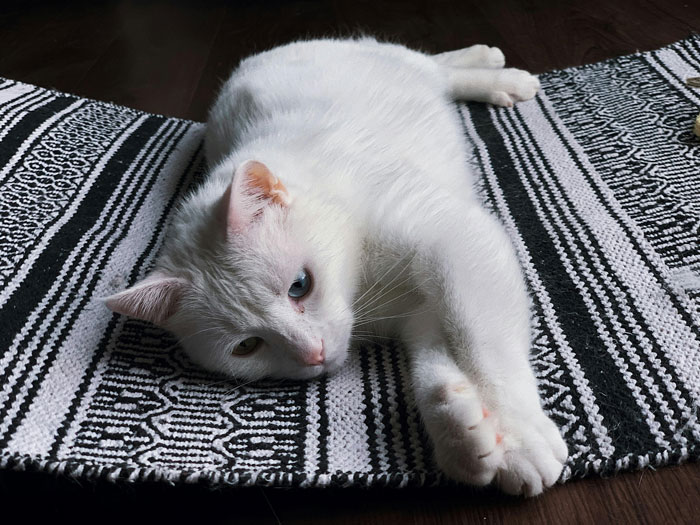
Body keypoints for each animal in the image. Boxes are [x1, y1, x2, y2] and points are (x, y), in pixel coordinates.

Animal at [108, 37, 568, 496]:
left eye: (300, 285)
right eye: (247, 346)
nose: (313, 354)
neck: (359, 280)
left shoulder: (457, 238)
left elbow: (482, 343)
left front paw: (519, 435)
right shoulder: (418, 313)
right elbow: (434, 364)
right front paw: (464, 433)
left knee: (434, 65)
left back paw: (499, 72)